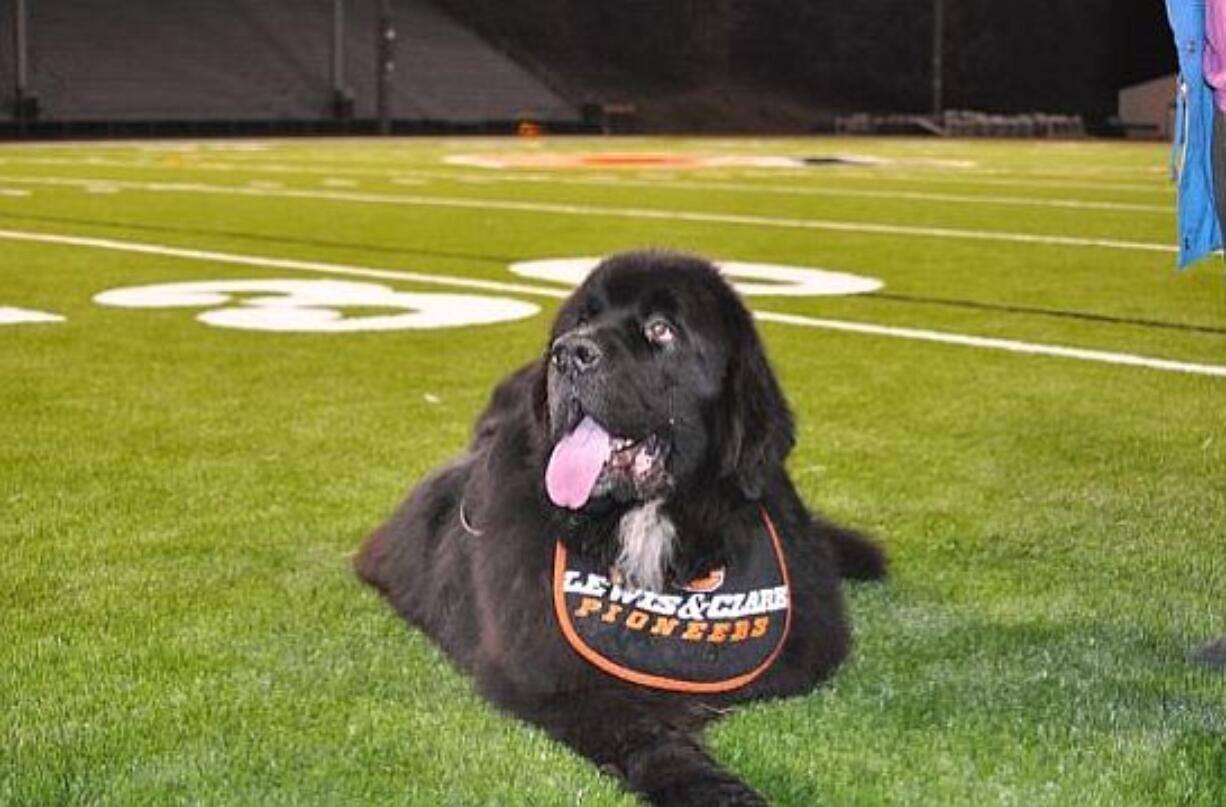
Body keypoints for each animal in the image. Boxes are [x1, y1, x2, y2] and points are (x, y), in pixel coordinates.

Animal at [355, 247, 882, 799]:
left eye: (661, 329)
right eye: (581, 319)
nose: (568, 353)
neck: (639, 524)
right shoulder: (554, 676)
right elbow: (642, 732)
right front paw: (709, 787)